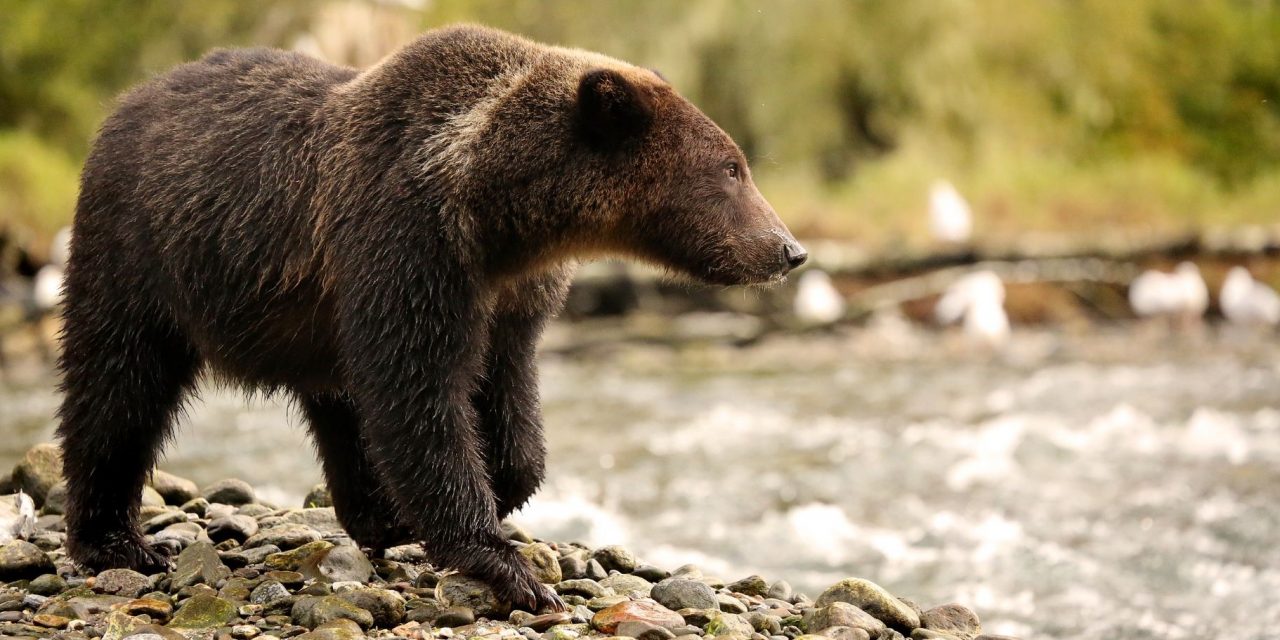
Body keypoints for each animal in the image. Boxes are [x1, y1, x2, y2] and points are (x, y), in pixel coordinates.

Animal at [56, 25, 806, 611]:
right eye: (732, 168)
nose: (789, 249)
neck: (498, 205)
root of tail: (127, 100)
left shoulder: (510, 294)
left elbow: (504, 393)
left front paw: (504, 484)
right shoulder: (409, 243)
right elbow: (419, 393)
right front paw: (506, 564)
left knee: (336, 404)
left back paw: (375, 516)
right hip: (139, 252)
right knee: (118, 384)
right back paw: (119, 540)